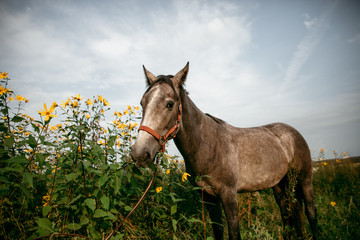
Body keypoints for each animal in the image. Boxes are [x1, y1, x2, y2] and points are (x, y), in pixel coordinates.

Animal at [131, 62, 316, 239]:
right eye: (142, 103)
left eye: (170, 104)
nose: (139, 154)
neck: (208, 146)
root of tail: (293, 132)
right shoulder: (209, 198)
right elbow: (218, 231)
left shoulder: (229, 196)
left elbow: (234, 233)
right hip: (280, 184)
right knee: (287, 214)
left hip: (304, 179)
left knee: (310, 212)